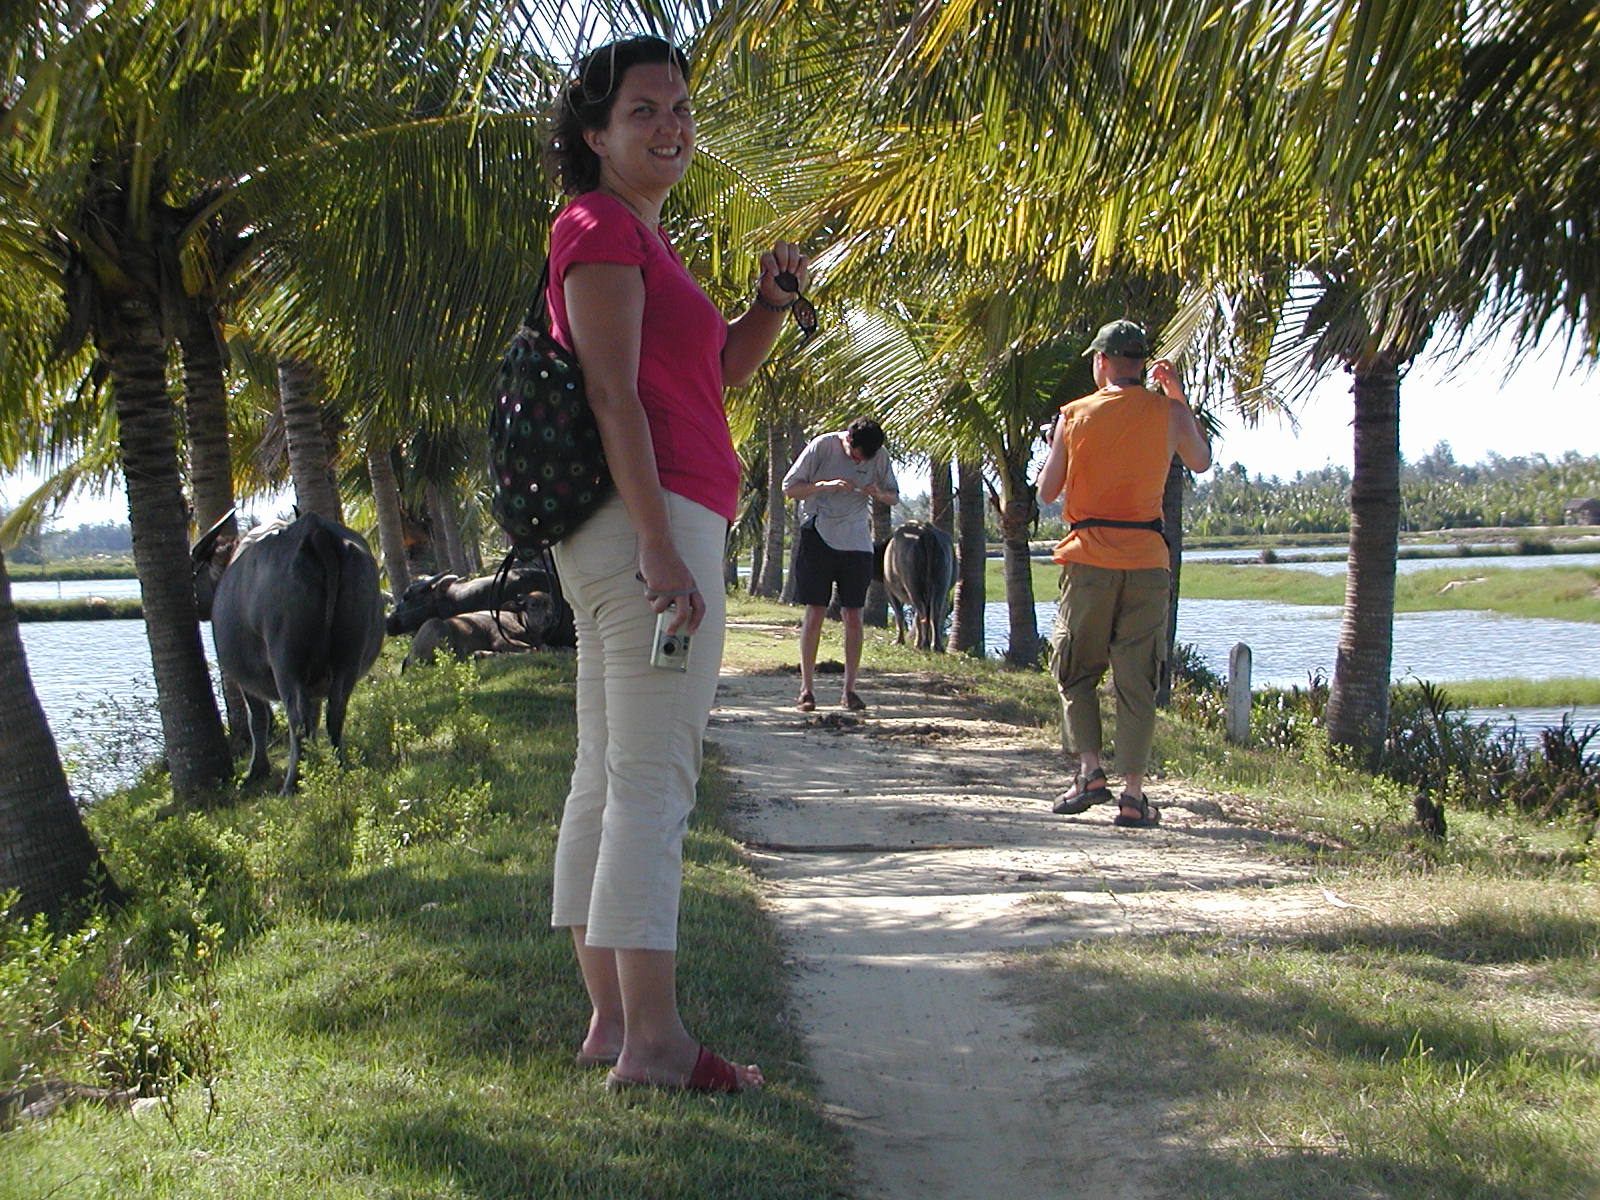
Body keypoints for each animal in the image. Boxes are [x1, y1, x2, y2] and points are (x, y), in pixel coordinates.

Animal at [192, 512, 386, 794]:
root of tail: (316, 531)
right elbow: (315, 716)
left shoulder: (245, 681)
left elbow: (258, 719)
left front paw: (257, 770)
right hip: (349, 652)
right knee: (335, 709)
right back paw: (338, 765)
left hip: (285, 661)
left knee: (296, 714)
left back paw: (291, 783)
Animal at [403, 592, 557, 669]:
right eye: (533, 605)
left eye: (551, 603)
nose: (549, 617)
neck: (517, 617)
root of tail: (409, 655)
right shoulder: (499, 641)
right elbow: (532, 649)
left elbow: (543, 647)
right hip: (434, 625)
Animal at [882, 521, 956, 652]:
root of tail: (926, 532)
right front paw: (916, 641)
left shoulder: (890, 591)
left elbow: (899, 614)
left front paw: (899, 641)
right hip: (941, 585)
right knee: (935, 612)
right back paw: (936, 646)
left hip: (913, 586)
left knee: (922, 611)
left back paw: (924, 644)